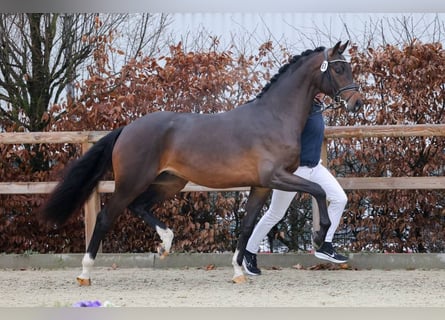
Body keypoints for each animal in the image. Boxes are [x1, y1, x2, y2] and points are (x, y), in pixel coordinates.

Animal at [40, 41, 360, 284]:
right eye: (339, 68)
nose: (356, 103)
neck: (274, 117)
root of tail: (127, 129)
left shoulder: (260, 185)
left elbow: (247, 225)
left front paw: (238, 271)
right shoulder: (276, 177)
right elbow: (318, 191)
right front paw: (320, 237)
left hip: (170, 181)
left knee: (139, 207)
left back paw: (166, 243)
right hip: (132, 182)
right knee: (107, 217)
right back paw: (85, 273)